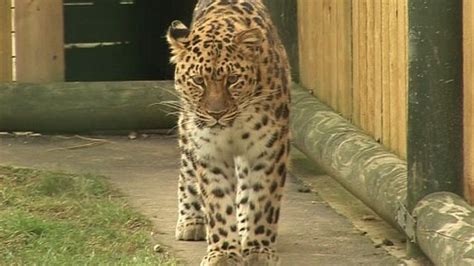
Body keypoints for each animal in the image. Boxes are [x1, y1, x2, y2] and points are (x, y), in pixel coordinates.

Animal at [167, 1, 292, 264]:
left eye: (233, 79)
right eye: (198, 80)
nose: (216, 113)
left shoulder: (269, 150)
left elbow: (262, 200)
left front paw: (258, 249)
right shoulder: (209, 153)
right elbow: (217, 205)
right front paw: (223, 253)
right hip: (186, 127)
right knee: (186, 170)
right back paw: (191, 220)